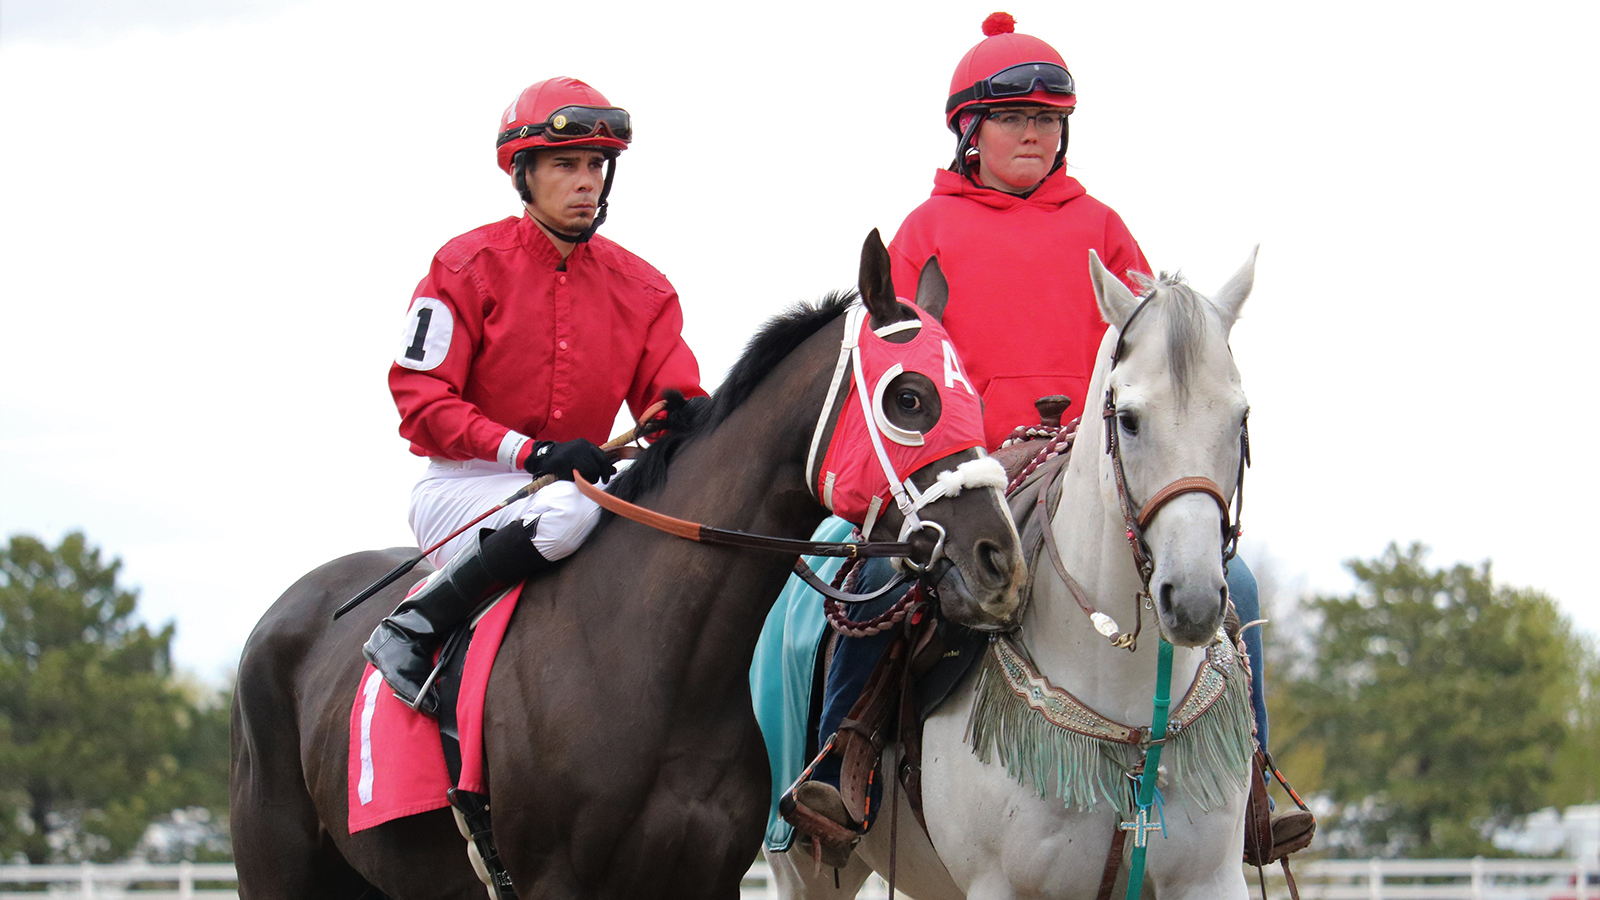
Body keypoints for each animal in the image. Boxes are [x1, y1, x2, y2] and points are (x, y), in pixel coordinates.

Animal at [228, 232, 1024, 896]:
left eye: (975, 397)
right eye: (909, 397)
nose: (1001, 564)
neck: (661, 668)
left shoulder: (705, 879)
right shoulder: (551, 881)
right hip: (278, 864)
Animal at [768, 248, 1254, 896]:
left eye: (1239, 418)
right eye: (1128, 419)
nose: (1194, 598)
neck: (1130, 718)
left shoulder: (1209, 879)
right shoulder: (1002, 883)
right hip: (805, 867)